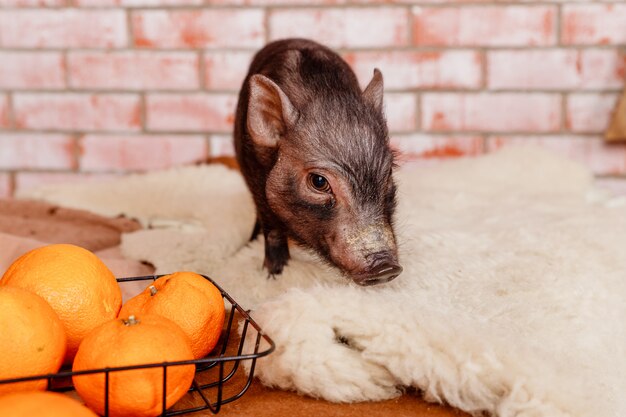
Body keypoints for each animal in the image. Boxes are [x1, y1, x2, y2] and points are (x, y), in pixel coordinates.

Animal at [233, 38, 400, 286]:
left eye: (388, 174)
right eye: (319, 182)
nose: (386, 268)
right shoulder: (256, 183)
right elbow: (273, 230)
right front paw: (273, 275)